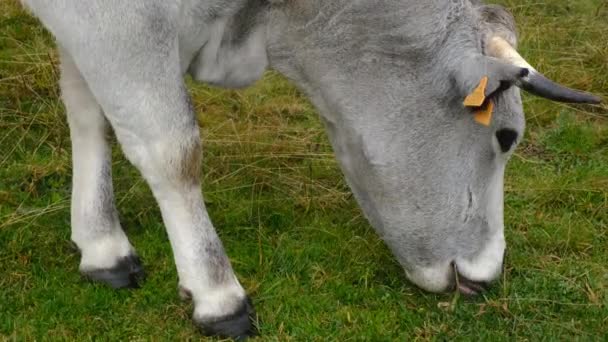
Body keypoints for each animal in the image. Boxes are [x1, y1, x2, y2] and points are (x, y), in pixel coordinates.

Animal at [17, 0, 600, 338]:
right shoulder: (113, 17)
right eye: (506, 136)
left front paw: (101, 245)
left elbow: (88, 111)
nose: (489, 273)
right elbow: (173, 151)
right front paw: (218, 296)